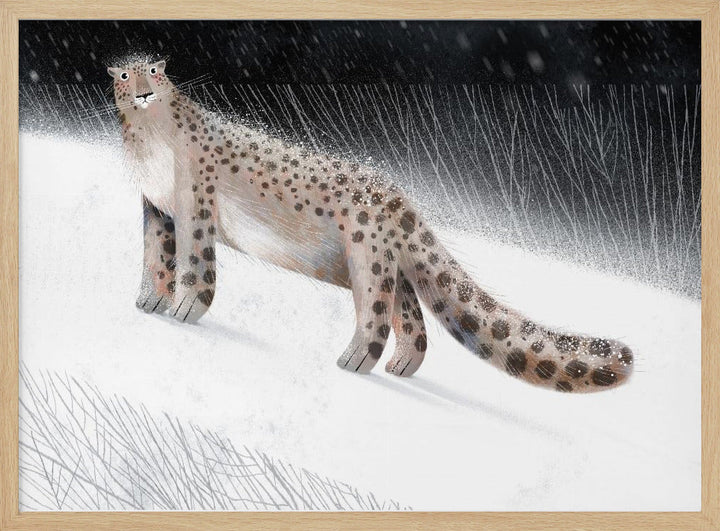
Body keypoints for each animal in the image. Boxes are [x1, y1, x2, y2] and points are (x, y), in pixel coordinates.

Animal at [107, 58, 634, 393]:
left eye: (156, 72)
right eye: (125, 75)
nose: (144, 92)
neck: (149, 144)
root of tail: (402, 200)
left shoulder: (194, 204)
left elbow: (195, 263)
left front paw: (183, 309)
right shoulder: (157, 208)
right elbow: (156, 256)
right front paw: (148, 301)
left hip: (366, 256)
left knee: (377, 313)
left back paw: (354, 361)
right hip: (386, 265)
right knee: (412, 317)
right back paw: (401, 365)